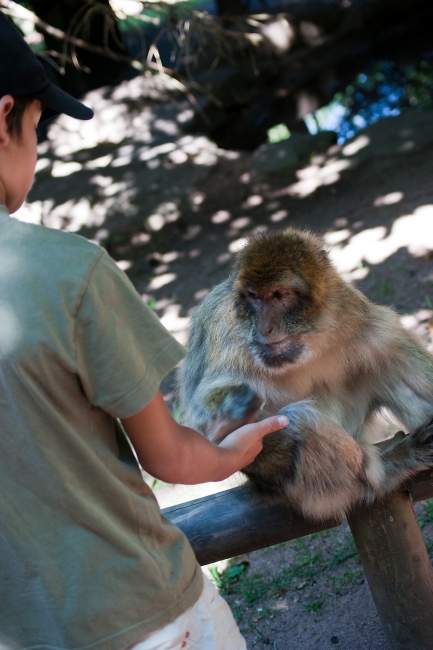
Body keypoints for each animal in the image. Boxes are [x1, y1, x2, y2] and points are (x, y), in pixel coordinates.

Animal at [176, 225, 432, 520]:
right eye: (254, 297)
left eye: (279, 295)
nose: (264, 329)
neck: (305, 344)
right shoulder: (226, 332)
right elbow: (203, 427)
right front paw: (233, 415)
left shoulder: (349, 309)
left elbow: (393, 349)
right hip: (303, 490)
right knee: (298, 420)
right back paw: (381, 475)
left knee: (386, 364)